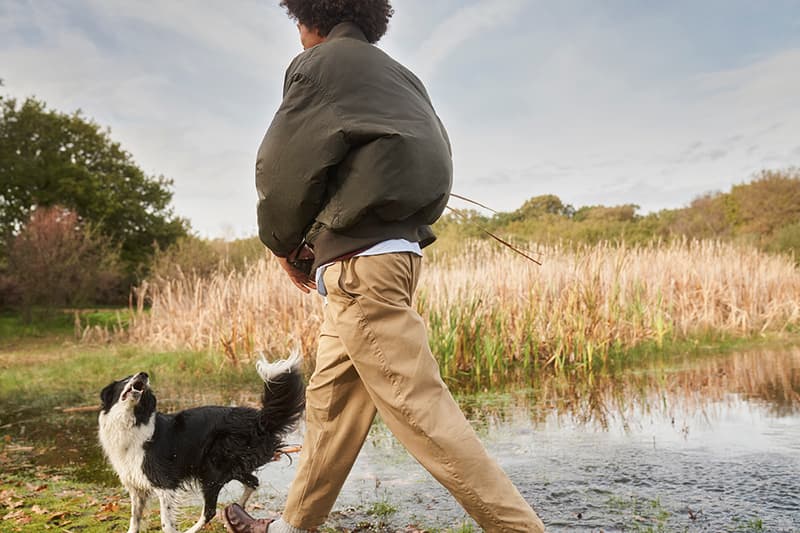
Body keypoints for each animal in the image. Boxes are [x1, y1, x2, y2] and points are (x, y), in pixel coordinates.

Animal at [97, 354, 304, 532]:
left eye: (145, 385)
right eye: (126, 378)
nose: (144, 374)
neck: (132, 420)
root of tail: (258, 418)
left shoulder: (165, 484)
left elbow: (166, 522)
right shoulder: (135, 486)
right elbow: (135, 519)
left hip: (212, 470)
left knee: (210, 510)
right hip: (228, 467)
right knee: (252, 482)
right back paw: (236, 511)